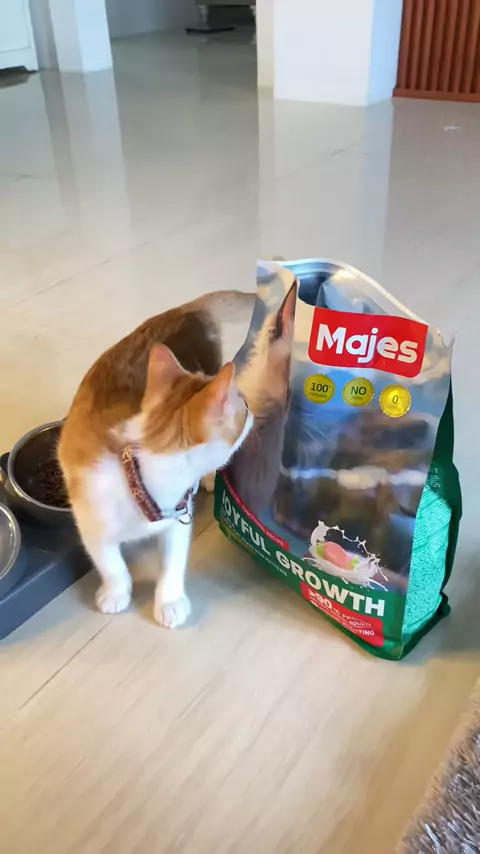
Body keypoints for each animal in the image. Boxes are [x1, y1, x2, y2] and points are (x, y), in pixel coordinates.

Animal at [58, 291, 255, 628]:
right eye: (242, 405)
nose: (252, 409)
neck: (138, 478)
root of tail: (186, 308)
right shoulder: (89, 519)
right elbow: (109, 561)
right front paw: (116, 591)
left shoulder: (178, 516)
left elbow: (173, 562)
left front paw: (170, 600)